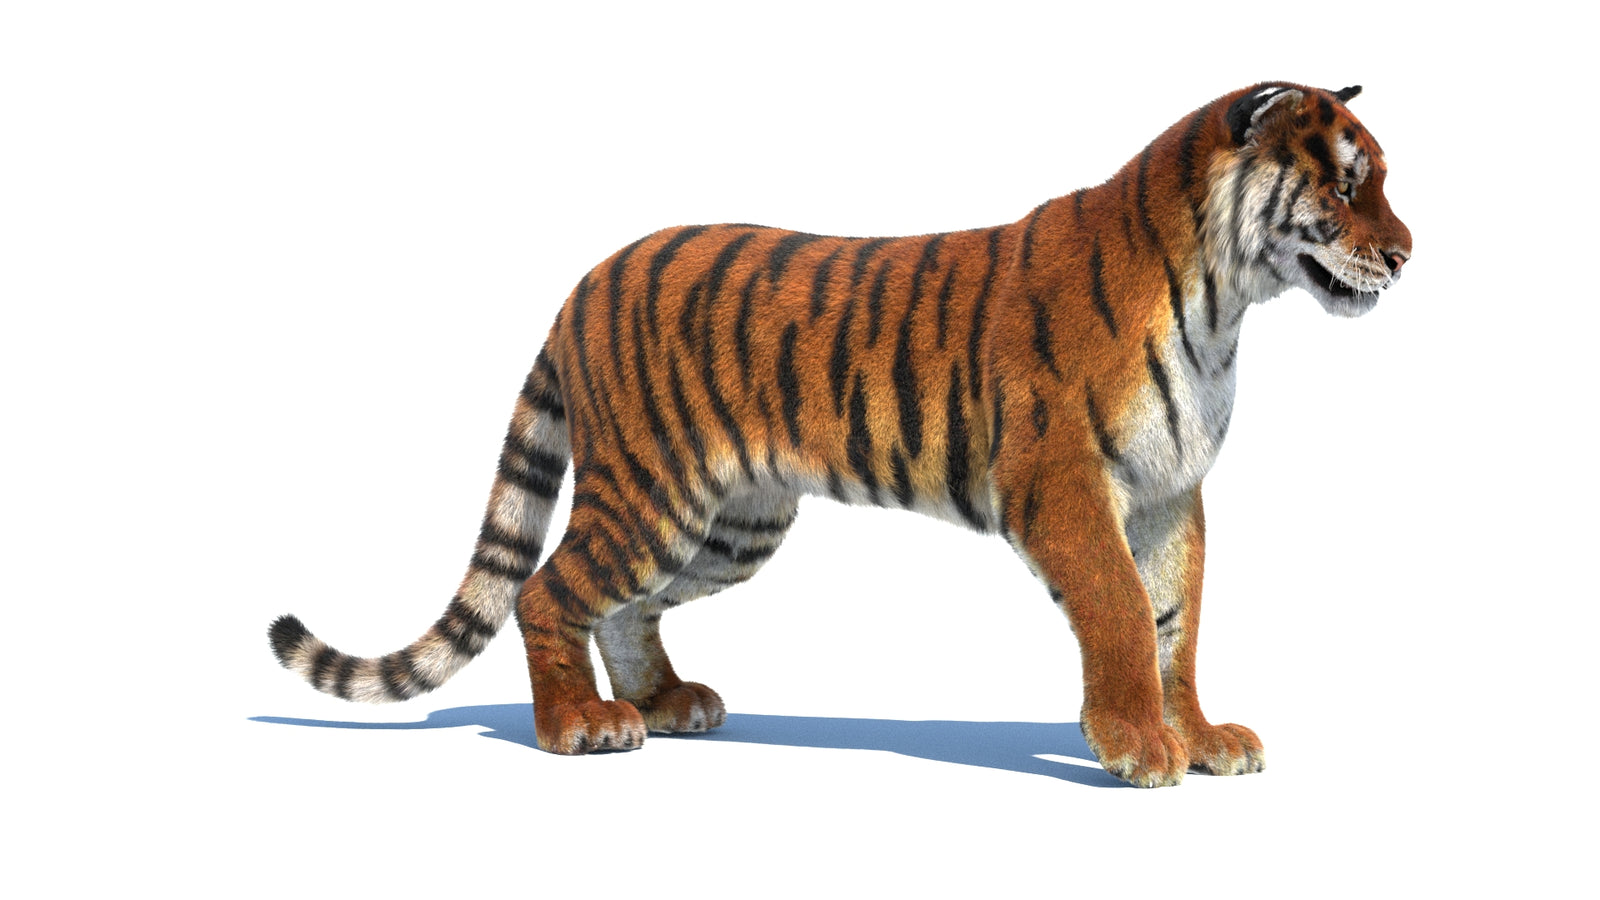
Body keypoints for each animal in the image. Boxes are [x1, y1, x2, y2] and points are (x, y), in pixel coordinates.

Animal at [270, 82, 1411, 787]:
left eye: (1380, 180)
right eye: (1347, 183)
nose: (1406, 252)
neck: (1225, 301)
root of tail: (586, 280)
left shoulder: (1171, 493)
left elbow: (1179, 621)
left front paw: (1201, 736)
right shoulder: (1064, 483)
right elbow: (1125, 614)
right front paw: (1138, 749)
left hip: (730, 525)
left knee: (623, 607)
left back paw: (666, 702)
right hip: (649, 493)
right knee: (552, 589)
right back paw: (578, 728)